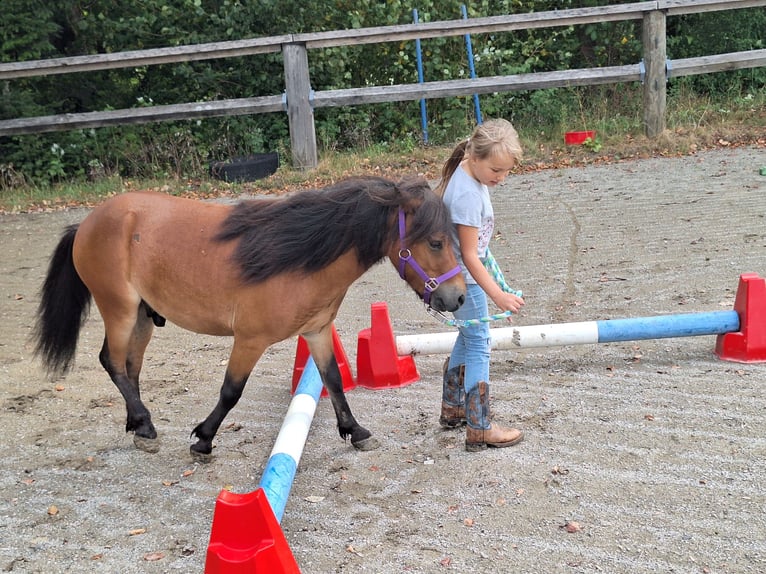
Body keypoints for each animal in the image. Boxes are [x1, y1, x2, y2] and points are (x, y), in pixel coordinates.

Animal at [32, 176, 466, 461]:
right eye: (435, 242)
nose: (458, 296)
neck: (299, 258)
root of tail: (87, 223)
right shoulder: (249, 340)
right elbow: (231, 391)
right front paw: (204, 439)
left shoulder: (317, 332)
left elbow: (334, 380)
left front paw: (355, 431)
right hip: (119, 310)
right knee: (112, 362)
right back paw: (144, 421)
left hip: (140, 316)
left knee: (130, 367)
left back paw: (140, 427)